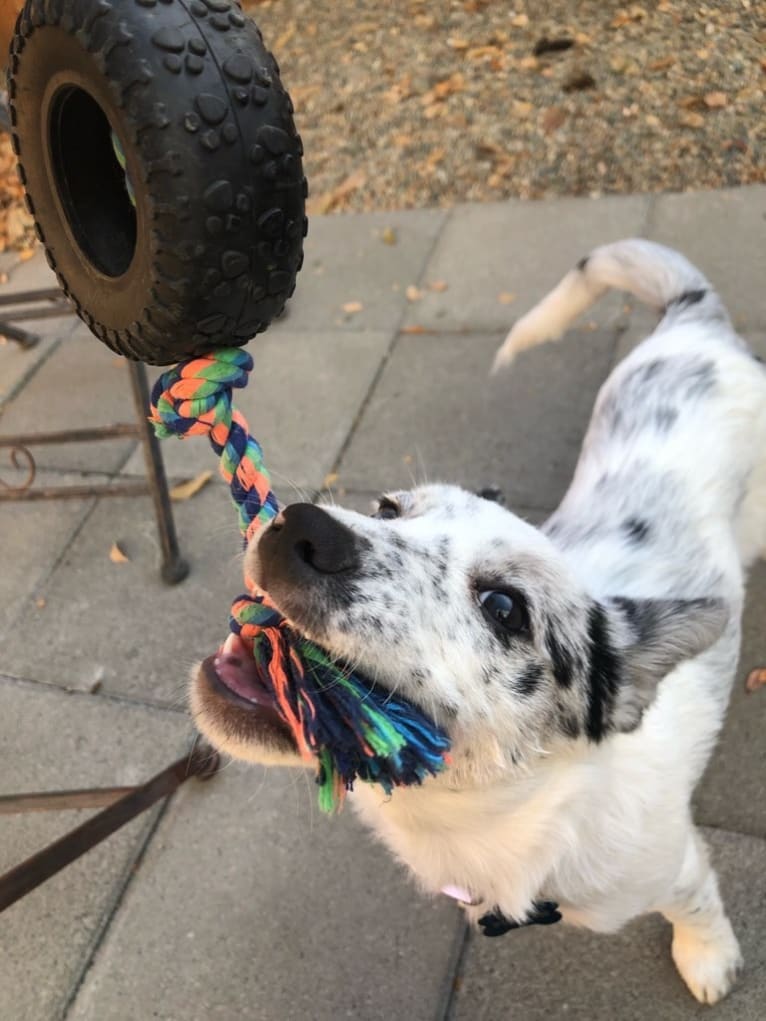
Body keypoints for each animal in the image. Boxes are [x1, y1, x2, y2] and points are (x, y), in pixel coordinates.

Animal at [193, 238, 766, 1004]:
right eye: (387, 508)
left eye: (504, 607)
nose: (299, 528)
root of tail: (695, 321)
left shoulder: (676, 865)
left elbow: (698, 903)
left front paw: (708, 958)